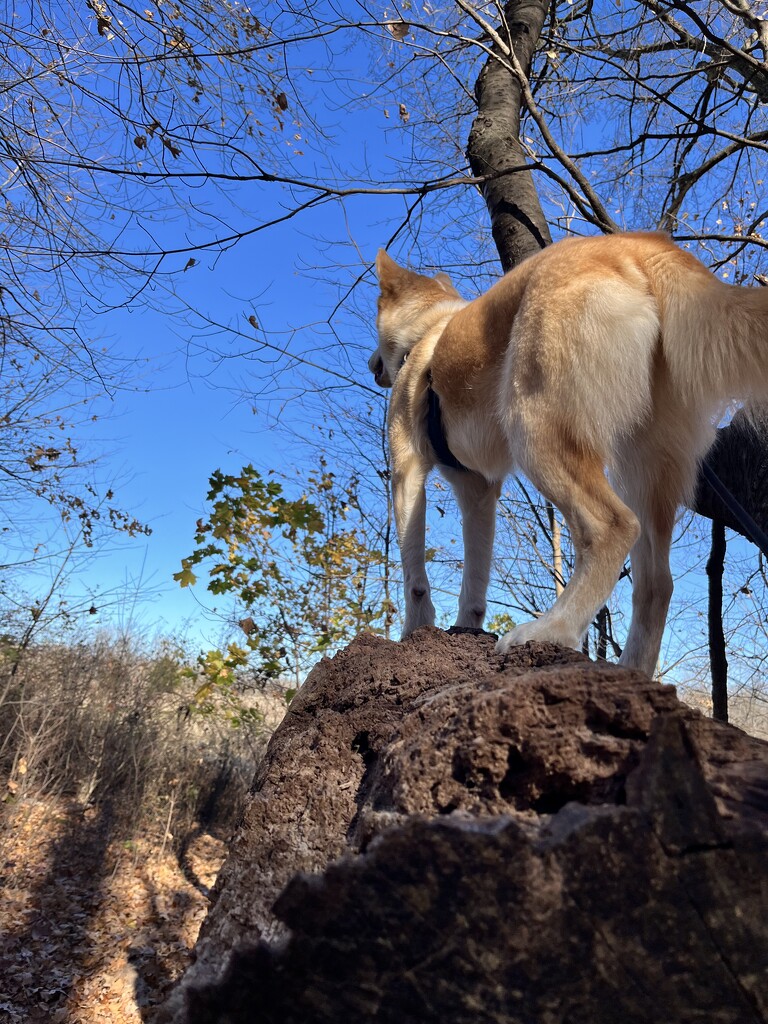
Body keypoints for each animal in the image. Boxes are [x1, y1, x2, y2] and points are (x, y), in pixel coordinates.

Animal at [370, 233, 768, 679]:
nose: (372, 366)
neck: (427, 331)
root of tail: (639, 244)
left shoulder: (406, 470)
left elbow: (414, 574)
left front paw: (414, 632)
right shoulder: (479, 491)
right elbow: (475, 574)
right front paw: (465, 627)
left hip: (535, 429)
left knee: (613, 526)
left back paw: (553, 627)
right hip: (644, 470)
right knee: (657, 583)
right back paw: (628, 672)